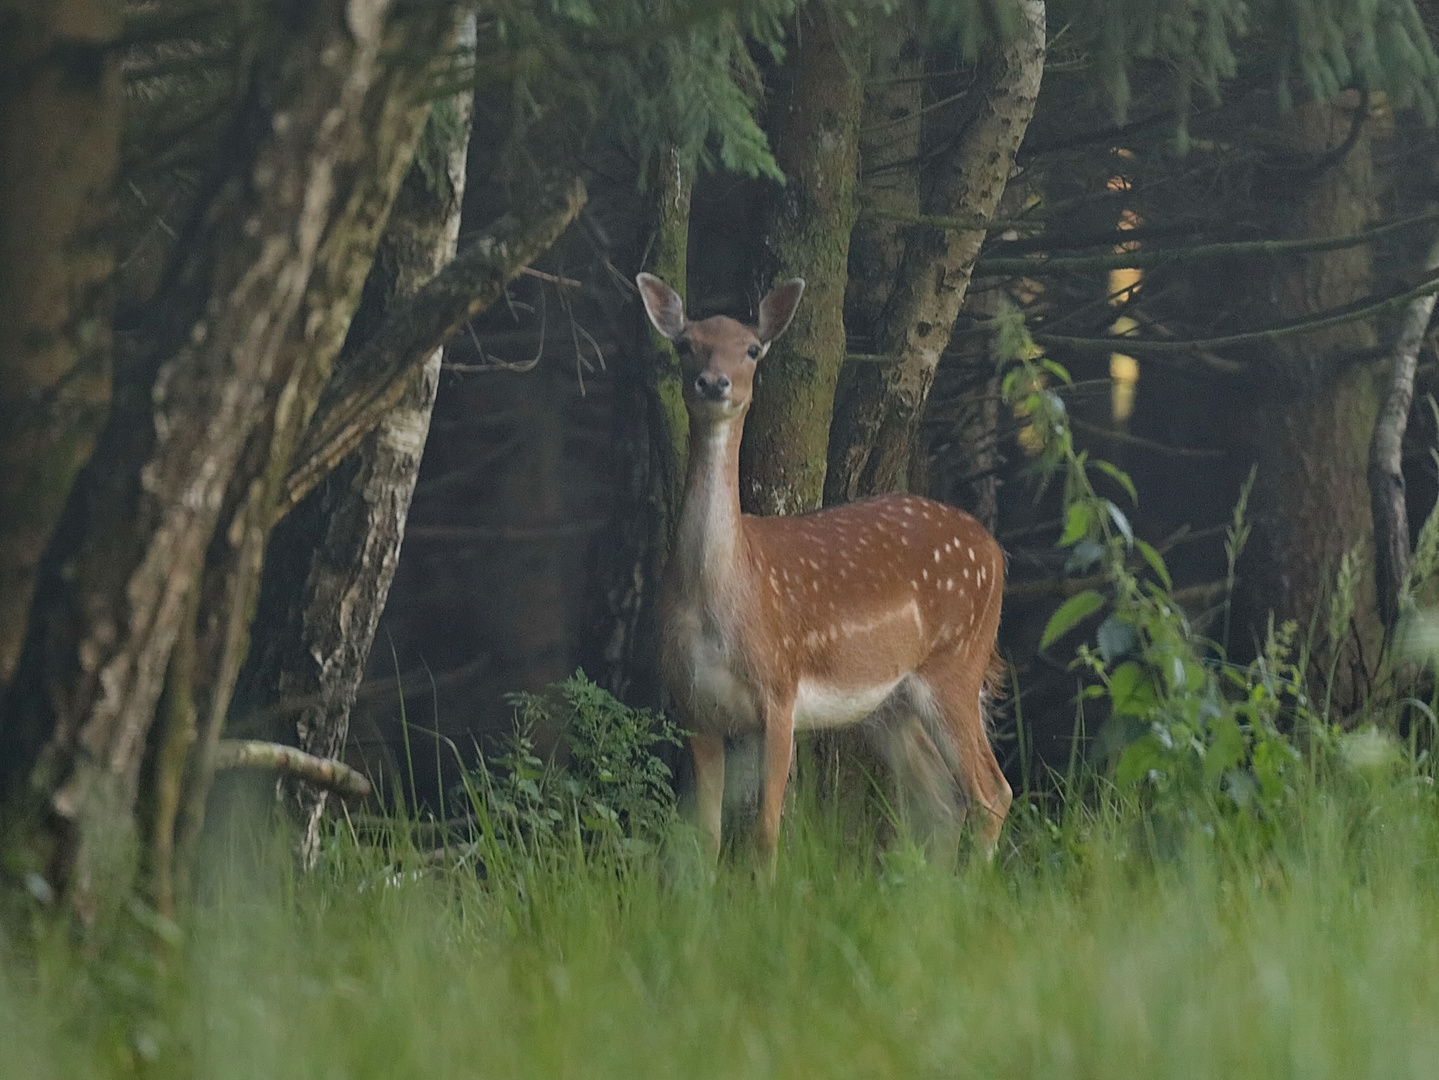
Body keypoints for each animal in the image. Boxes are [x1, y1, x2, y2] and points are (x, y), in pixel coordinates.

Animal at [641, 271, 1013, 868]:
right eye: (685, 344)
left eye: (752, 349)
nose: (715, 383)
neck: (724, 596)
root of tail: (997, 552)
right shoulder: (692, 705)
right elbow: (707, 836)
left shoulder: (779, 690)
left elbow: (766, 831)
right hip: (890, 703)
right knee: (939, 799)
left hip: (957, 660)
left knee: (991, 791)